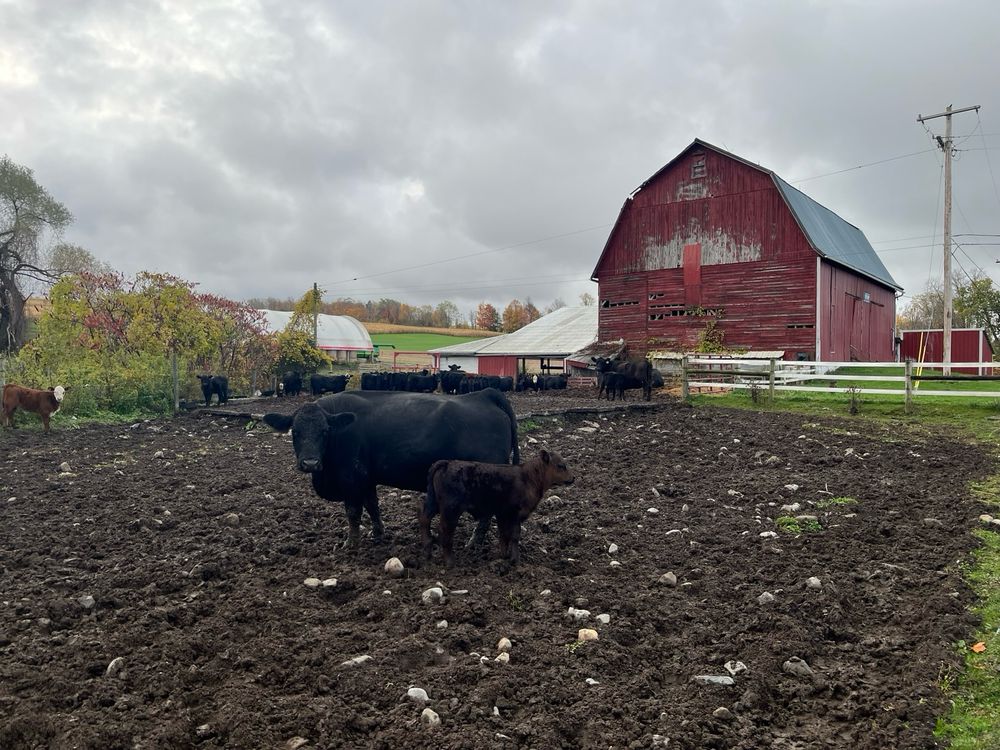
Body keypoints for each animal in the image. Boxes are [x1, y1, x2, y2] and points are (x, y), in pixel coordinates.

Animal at [262, 388, 520, 547]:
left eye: (325, 431)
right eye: (295, 432)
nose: (310, 463)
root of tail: (483, 395)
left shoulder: (351, 477)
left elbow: (353, 512)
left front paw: (350, 543)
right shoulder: (367, 478)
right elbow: (372, 506)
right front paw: (378, 534)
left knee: (487, 512)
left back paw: (474, 541)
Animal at [421, 449, 574, 566]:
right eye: (561, 466)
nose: (573, 478)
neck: (528, 478)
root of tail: (447, 463)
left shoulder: (502, 514)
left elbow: (504, 535)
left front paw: (504, 555)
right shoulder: (514, 513)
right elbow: (514, 535)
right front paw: (515, 560)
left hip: (435, 504)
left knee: (425, 519)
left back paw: (428, 551)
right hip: (451, 509)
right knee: (444, 531)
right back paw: (450, 562)